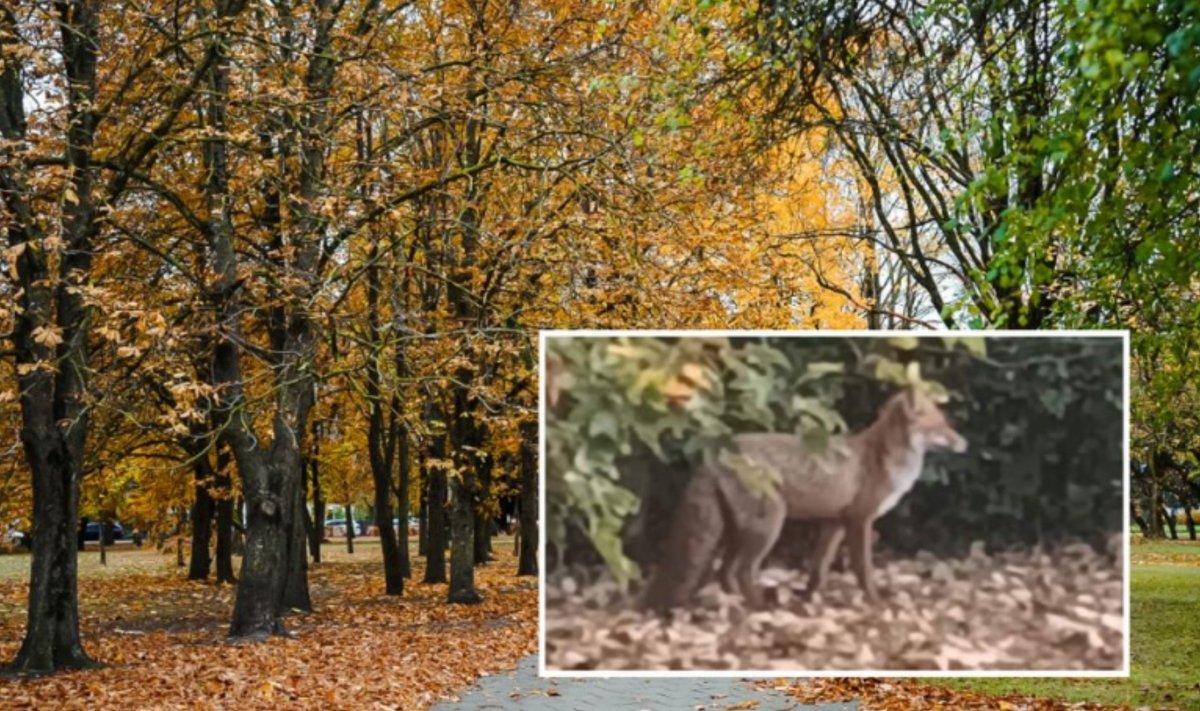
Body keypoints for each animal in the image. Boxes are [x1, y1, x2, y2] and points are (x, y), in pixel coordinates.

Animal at [638, 389, 964, 610]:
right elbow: (864, 569)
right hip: (768, 526)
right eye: (941, 426)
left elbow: (818, 568)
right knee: (741, 570)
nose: (965, 443)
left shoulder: (834, 522)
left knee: (724, 571)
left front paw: (808, 599)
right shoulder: (860, 521)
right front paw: (875, 601)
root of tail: (718, 454)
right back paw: (760, 607)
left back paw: (735, 602)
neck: (883, 461)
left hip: (735, 531)